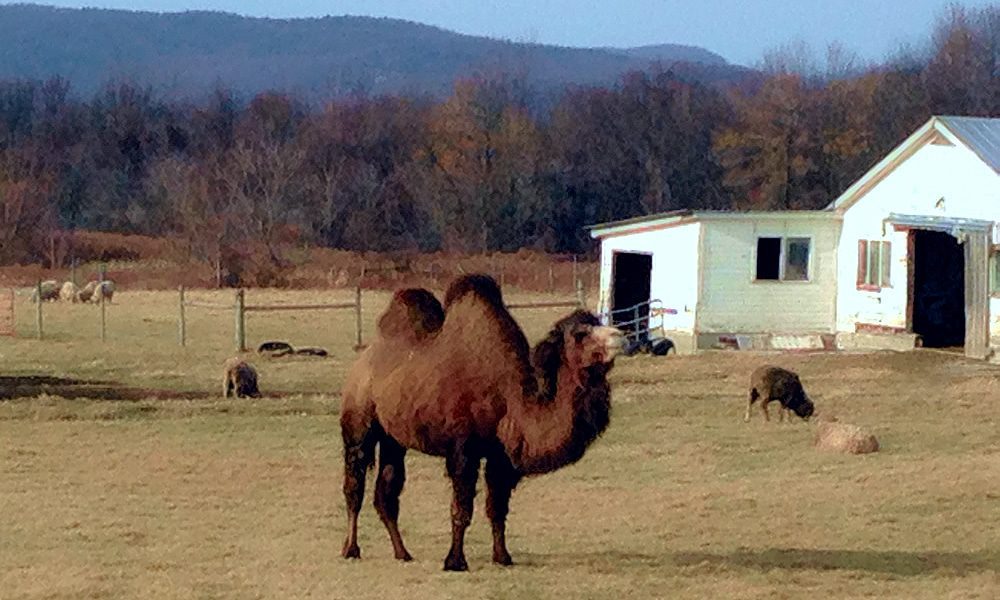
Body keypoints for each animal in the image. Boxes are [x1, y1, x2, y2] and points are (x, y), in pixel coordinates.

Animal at [339, 274, 624, 571]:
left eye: (598, 323)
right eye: (580, 334)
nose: (619, 337)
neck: (509, 399)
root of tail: (365, 357)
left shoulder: (501, 454)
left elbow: (497, 508)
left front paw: (503, 557)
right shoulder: (464, 448)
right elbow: (462, 507)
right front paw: (455, 561)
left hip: (394, 437)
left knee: (387, 490)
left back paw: (402, 552)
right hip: (359, 419)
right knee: (354, 485)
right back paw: (351, 549)